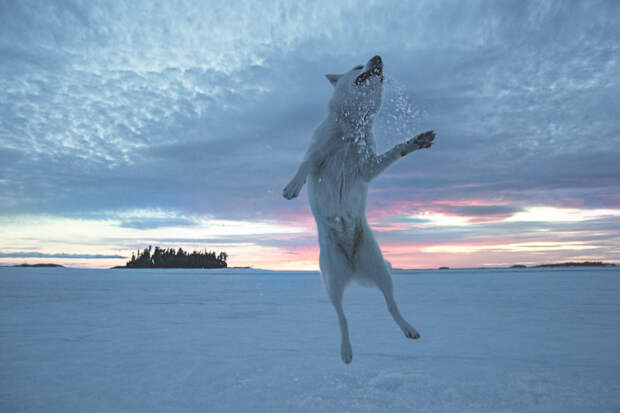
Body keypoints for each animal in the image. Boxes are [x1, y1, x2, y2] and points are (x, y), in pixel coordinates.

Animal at [284, 56, 434, 362]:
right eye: (356, 66)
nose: (378, 58)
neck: (352, 128)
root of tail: (353, 269)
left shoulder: (368, 168)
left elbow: (395, 152)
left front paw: (416, 141)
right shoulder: (318, 154)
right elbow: (306, 164)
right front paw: (292, 187)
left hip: (380, 270)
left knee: (390, 305)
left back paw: (408, 329)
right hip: (331, 282)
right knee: (342, 318)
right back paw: (346, 351)